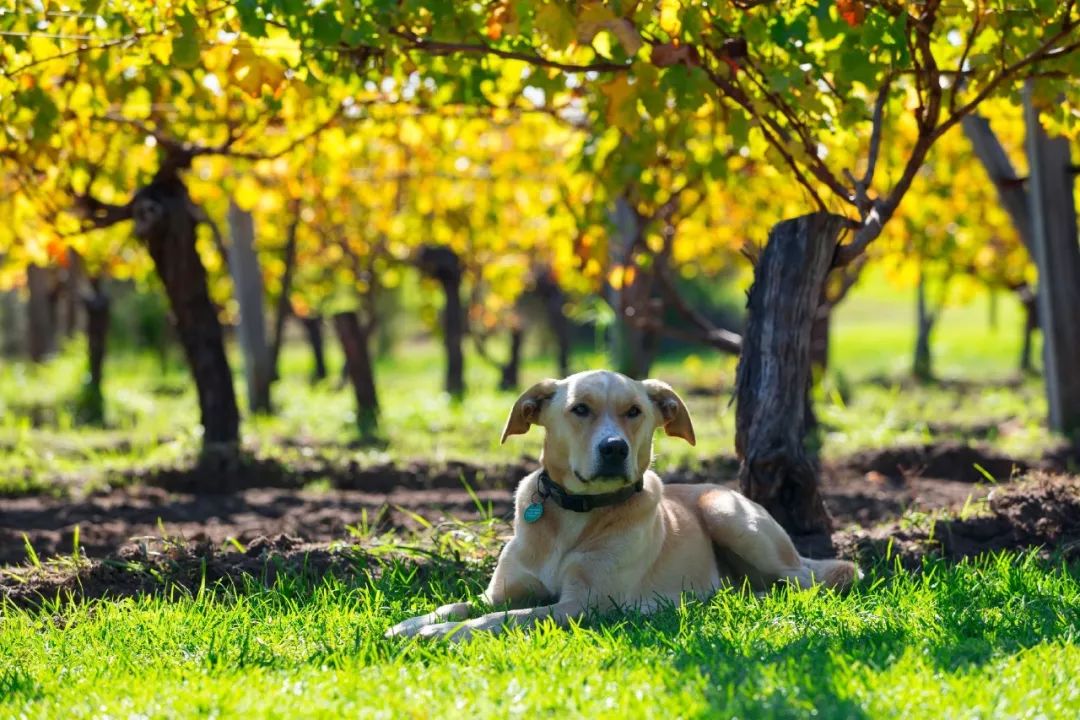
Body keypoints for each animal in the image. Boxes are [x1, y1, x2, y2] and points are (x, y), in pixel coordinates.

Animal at [388, 371, 859, 643]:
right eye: (580, 409)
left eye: (634, 411)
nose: (614, 449)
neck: (574, 514)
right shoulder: (499, 592)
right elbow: (463, 605)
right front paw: (410, 623)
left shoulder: (581, 606)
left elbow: (503, 620)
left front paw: (437, 634)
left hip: (730, 516)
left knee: (805, 583)